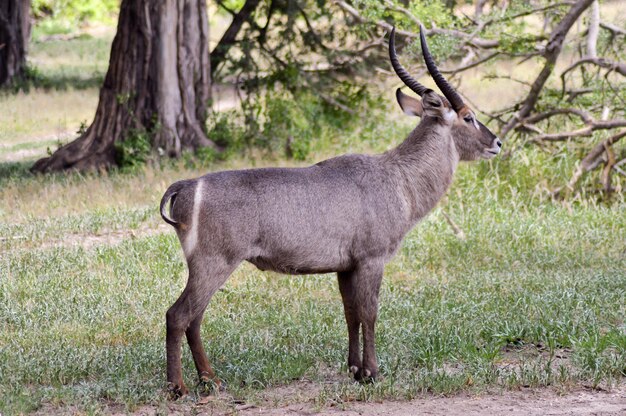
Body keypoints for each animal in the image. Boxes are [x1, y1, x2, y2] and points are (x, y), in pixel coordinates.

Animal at [160, 26, 498, 396]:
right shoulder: (371, 260)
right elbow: (370, 313)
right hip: (214, 263)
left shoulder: (345, 267)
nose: (497, 143)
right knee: (178, 315)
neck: (398, 177)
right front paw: (373, 373)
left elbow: (351, 313)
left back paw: (211, 380)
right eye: (468, 117)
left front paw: (355, 369)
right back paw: (179, 387)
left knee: (194, 318)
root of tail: (187, 185)